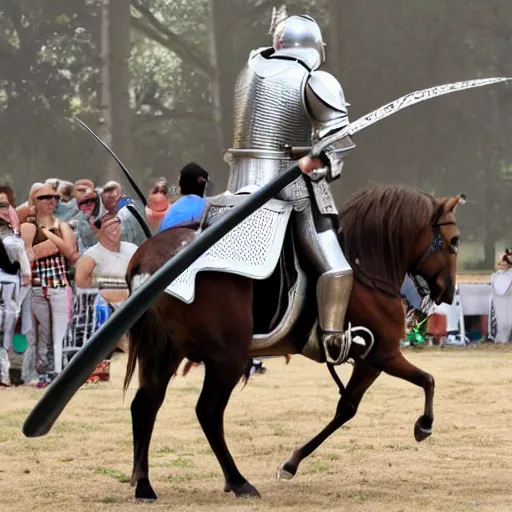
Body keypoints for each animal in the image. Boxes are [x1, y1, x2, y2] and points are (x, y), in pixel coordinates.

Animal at [124, 185, 464, 500]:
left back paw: (144, 483)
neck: (367, 266)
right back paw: (238, 482)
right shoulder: (381, 356)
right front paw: (424, 425)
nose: (448, 294)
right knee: (207, 412)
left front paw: (291, 463)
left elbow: (347, 407)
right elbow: (426, 380)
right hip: (226, 359)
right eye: (455, 241)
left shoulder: (368, 360)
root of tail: (148, 260)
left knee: (145, 405)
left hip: (166, 352)